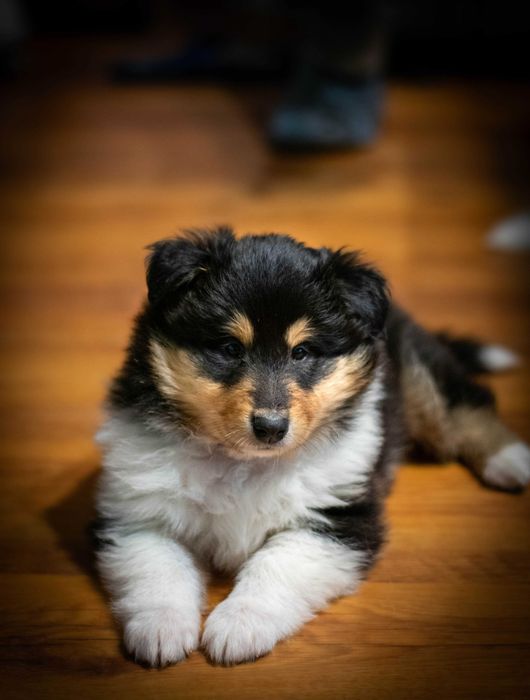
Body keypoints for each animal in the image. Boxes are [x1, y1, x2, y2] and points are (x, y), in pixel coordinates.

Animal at [95, 227, 530, 666]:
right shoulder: (138, 512)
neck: (245, 463)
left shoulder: (337, 518)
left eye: (302, 352)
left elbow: (276, 564)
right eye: (230, 348)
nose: (270, 428)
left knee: (464, 404)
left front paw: (238, 625)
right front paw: (160, 629)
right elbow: (158, 567)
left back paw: (510, 459)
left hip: (418, 371)